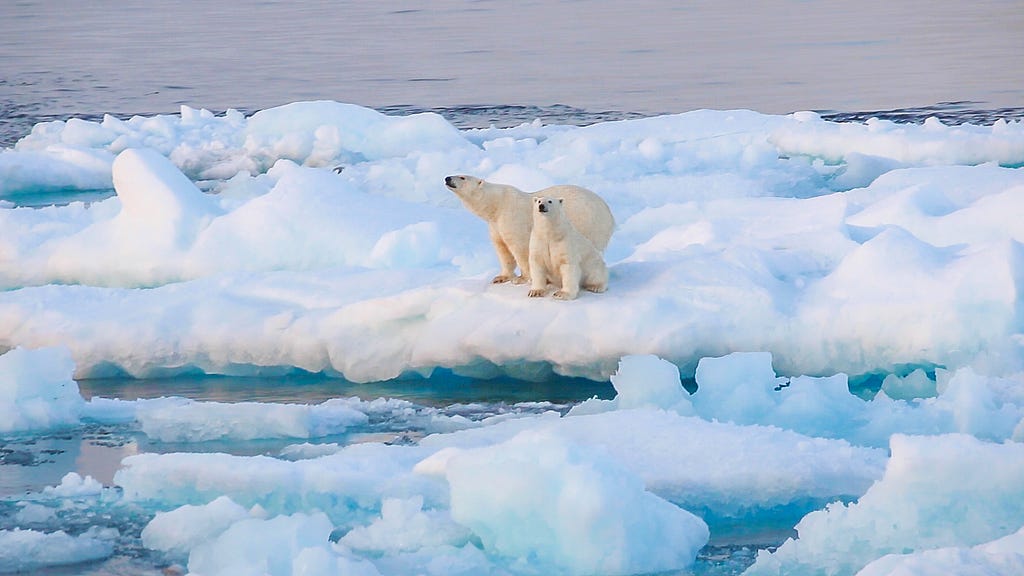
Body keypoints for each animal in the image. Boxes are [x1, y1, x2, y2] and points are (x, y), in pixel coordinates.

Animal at [442, 174, 614, 282]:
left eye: (463, 177)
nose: (447, 177)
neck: (497, 204)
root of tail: (610, 214)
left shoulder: (512, 218)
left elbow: (520, 249)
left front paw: (522, 278)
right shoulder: (495, 225)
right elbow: (502, 250)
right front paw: (500, 277)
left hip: (589, 222)